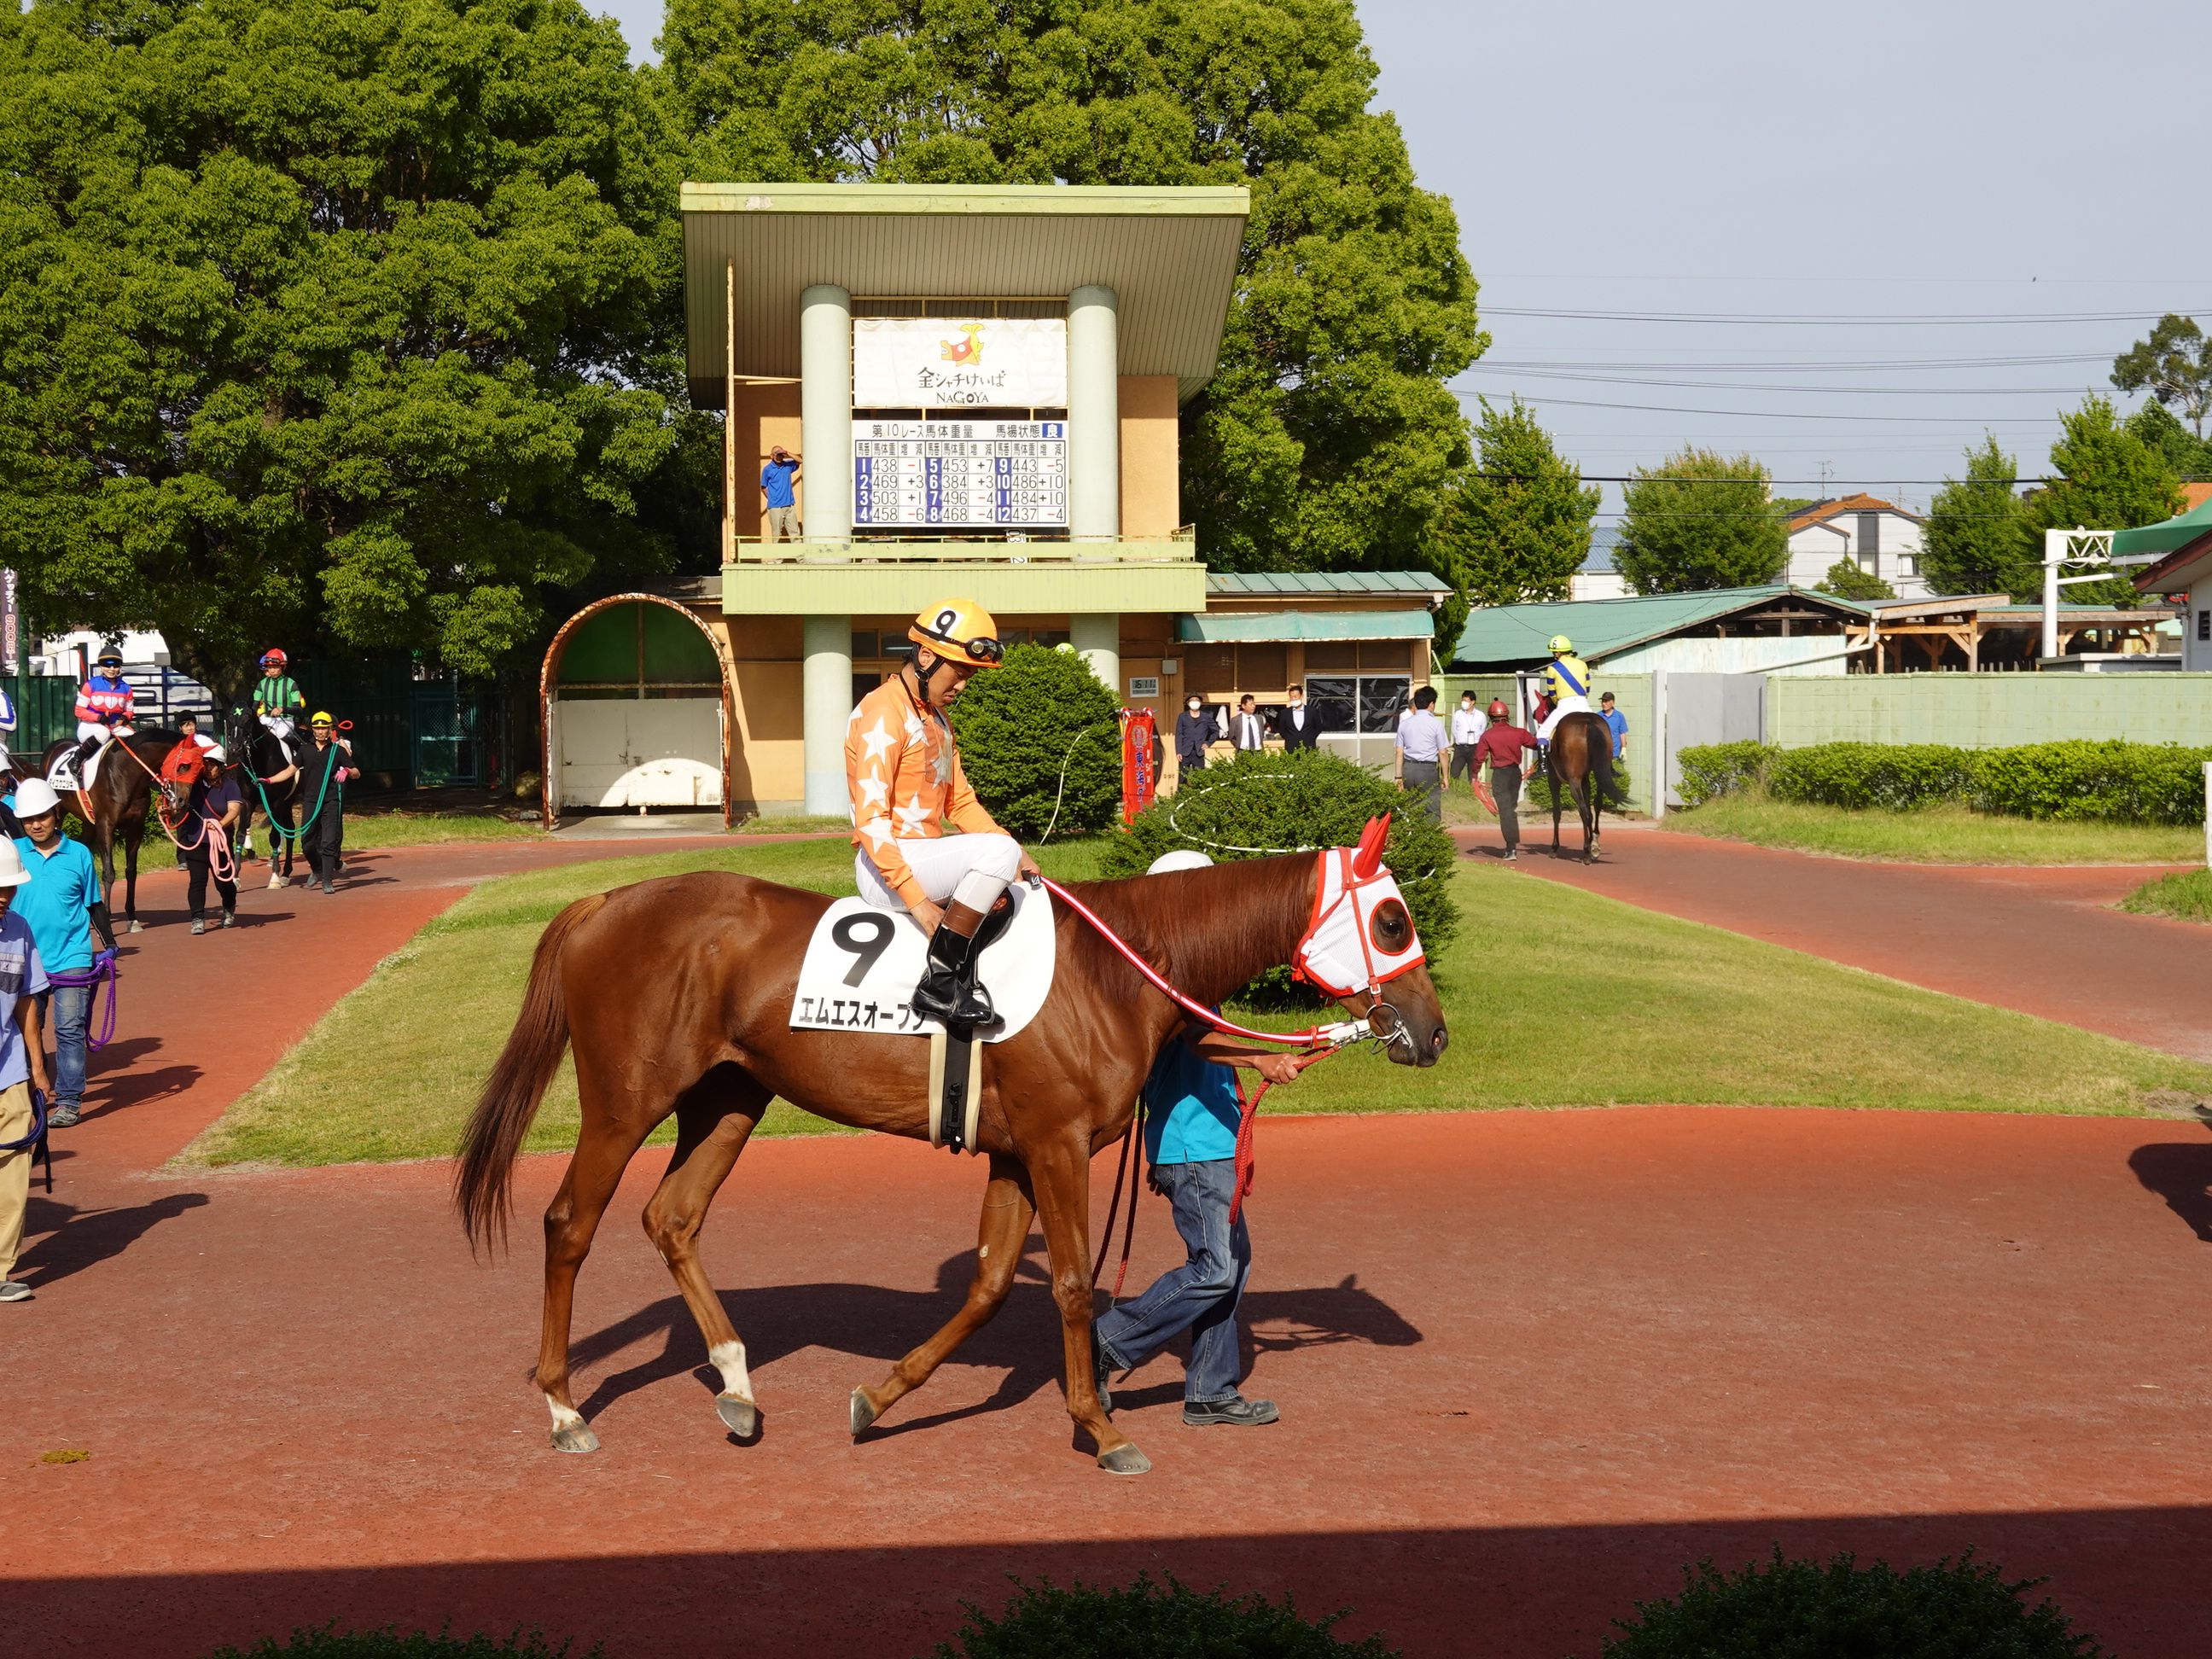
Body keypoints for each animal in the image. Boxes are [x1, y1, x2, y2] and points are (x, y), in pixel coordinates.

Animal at [455, 849, 1441, 1477]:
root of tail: (604, 902)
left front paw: (880, 1397)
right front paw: (1099, 1427)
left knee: (673, 1218)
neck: (1113, 968)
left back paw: (736, 1385)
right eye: (1393, 920)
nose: (1432, 1032)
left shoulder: (1014, 1149)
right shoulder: (1055, 1143)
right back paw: (565, 1408)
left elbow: (992, 1283)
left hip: (728, 1098)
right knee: (569, 1224)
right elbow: (1073, 1284)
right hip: (625, 1102)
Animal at [1540, 707, 1627, 871]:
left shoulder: (1554, 780)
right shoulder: (1586, 780)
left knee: (1583, 811)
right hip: (1601, 772)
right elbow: (1590, 809)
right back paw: (1594, 844)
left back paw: (1586, 853)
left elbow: (1557, 812)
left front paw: (1554, 848)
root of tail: (1588, 722)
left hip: (1574, 781)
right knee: (1596, 805)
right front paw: (1593, 844)